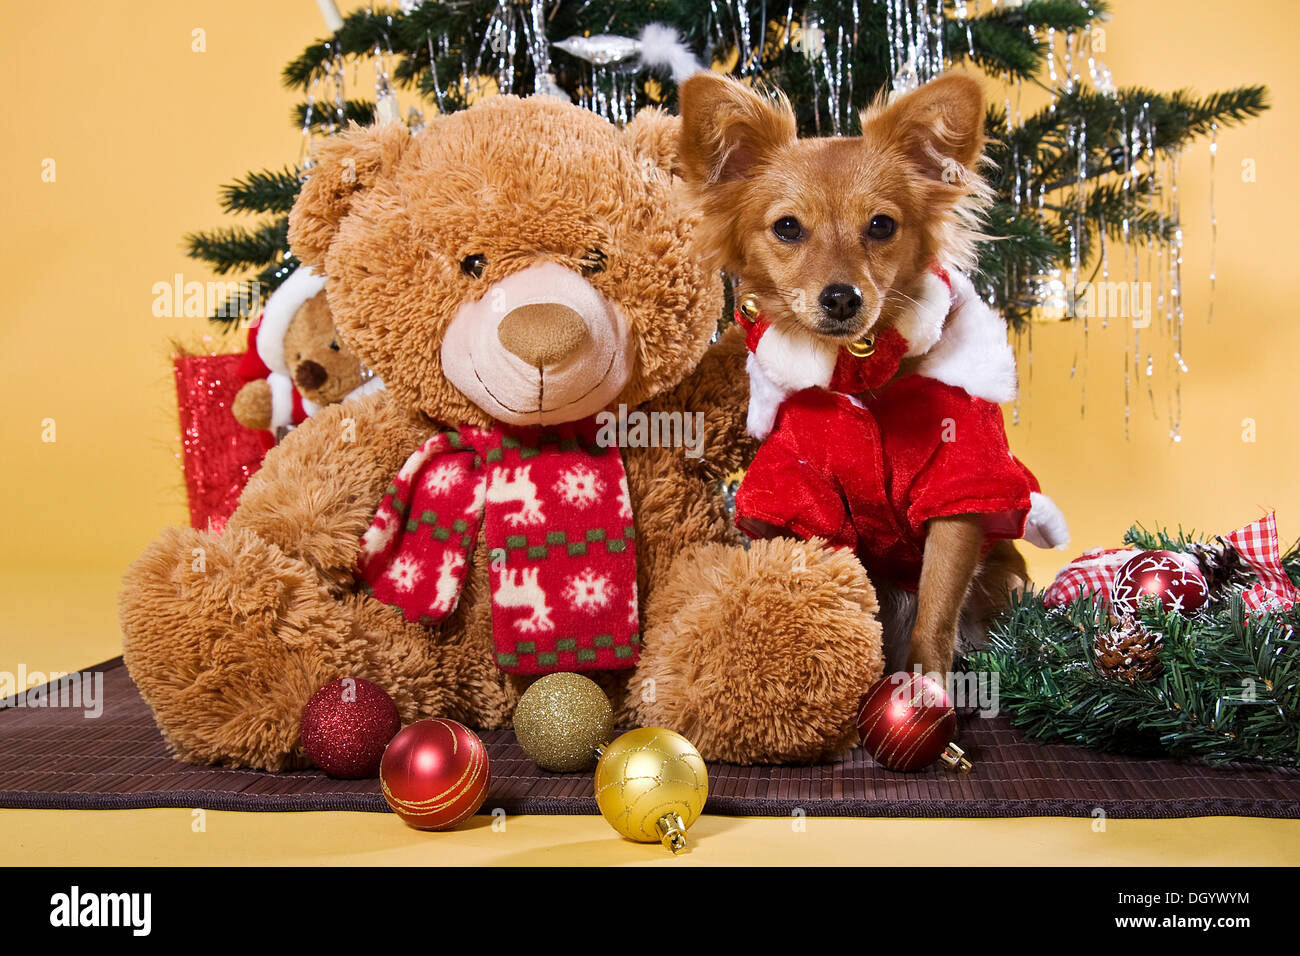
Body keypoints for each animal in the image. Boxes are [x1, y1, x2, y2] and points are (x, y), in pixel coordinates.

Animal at [681, 70, 1066, 676]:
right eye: (787, 228)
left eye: (882, 226)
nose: (842, 297)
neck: (863, 373)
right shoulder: (806, 500)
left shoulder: (960, 493)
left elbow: (936, 608)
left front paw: (926, 681)